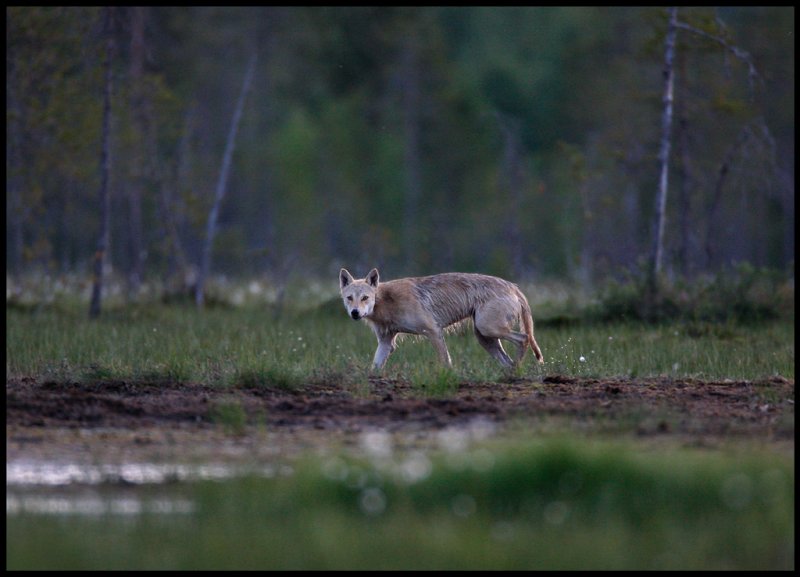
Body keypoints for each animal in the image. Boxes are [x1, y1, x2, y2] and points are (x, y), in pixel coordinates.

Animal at [338, 268, 544, 372]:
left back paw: (518, 368)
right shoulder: (386, 343)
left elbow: (446, 362)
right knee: (508, 358)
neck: (385, 301)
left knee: (524, 338)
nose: (355, 313)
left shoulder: (433, 331)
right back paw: (511, 373)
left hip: (489, 329)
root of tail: (513, 286)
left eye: (365, 298)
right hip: (485, 338)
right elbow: (374, 368)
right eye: (349, 298)